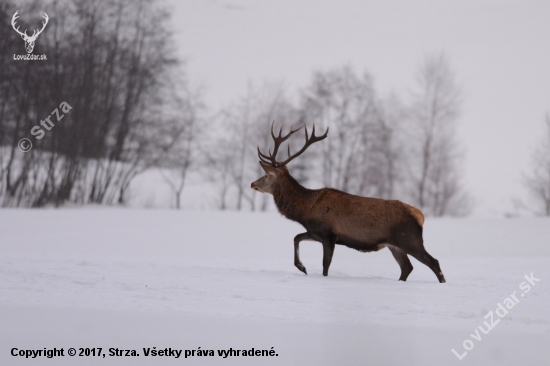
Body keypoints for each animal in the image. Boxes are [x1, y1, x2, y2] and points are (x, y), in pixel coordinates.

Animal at [252, 123, 446, 284]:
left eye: (267, 175)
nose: (252, 184)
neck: (305, 209)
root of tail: (420, 215)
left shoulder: (328, 234)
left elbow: (326, 264)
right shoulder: (315, 232)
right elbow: (296, 237)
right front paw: (302, 267)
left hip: (410, 239)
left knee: (433, 262)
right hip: (395, 245)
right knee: (407, 267)